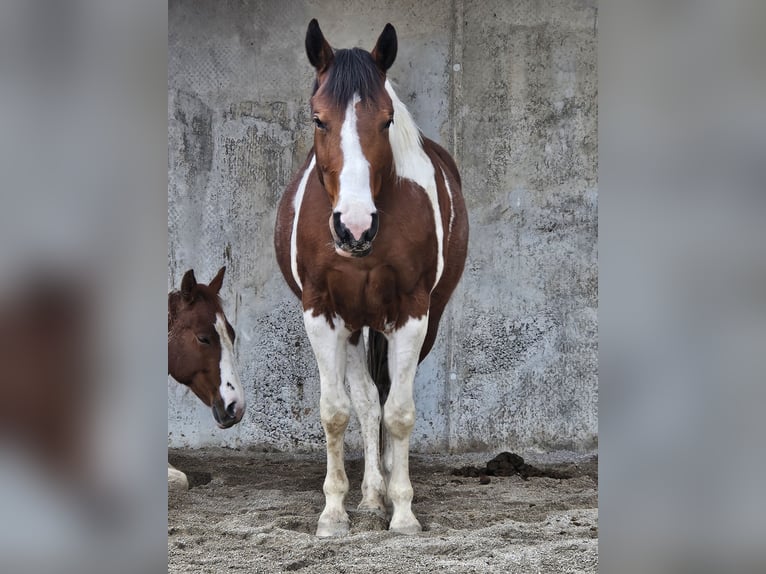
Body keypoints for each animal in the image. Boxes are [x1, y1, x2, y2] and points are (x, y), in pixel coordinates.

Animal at [274, 20, 468, 536]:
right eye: (319, 119)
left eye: (386, 120)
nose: (355, 227)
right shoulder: (321, 312)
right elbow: (337, 412)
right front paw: (333, 512)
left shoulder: (412, 312)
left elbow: (399, 414)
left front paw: (403, 513)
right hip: (354, 325)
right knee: (365, 402)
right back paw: (368, 495)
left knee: (385, 400)